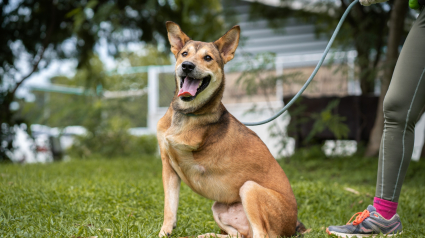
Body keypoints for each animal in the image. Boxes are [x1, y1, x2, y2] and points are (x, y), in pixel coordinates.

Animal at [157, 21, 304, 237]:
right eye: (184, 54)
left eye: (208, 58)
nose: (187, 66)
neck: (186, 113)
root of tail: (292, 226)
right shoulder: (168, 165)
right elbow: (169, 207)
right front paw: (164, 232)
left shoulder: (187, 158)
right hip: (219, 207)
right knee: (239, 235)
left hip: (249, 189)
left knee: (261, 234)